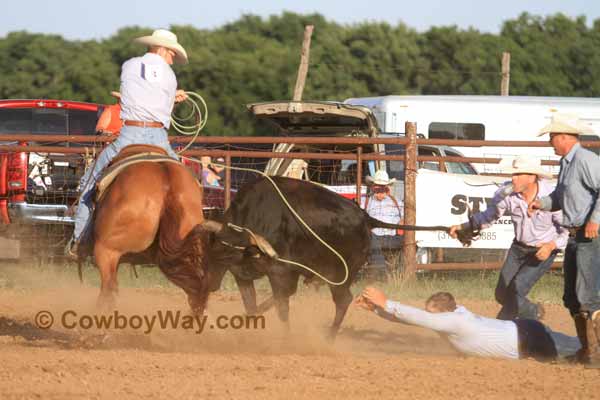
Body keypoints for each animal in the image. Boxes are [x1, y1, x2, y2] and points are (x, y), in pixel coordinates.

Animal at [206, 177, 450, 338]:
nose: (209, 286)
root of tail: (365, 217)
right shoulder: (244, 275)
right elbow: (253, 304)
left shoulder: (280, 272)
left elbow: (282, 305)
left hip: (339, 275)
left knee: (343, 300)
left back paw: (330, 336)